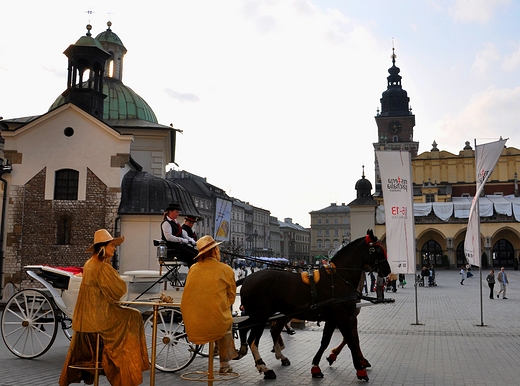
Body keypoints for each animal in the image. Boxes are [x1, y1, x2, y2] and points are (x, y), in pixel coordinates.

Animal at [239, 229, 390, 380]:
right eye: (376, 250)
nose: (387, 270)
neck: (337, 279)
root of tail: (246, 279)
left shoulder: (333, 318)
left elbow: (326, 341)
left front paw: (316, 367)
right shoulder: (342, 317)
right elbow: (351, 340)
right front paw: (360, 369)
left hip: (261, 315)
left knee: (245, 327)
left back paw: (250, 351)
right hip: (261, 316)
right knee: (254, 340)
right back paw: (264, 367)